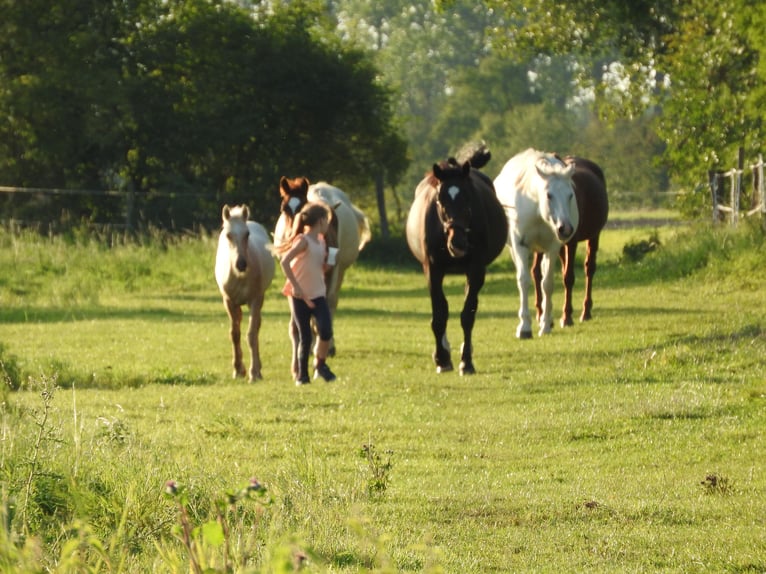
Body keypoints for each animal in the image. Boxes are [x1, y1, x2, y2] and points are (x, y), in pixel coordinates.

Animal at [215, 204, 275, 381]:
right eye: (228, 235)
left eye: (247, 234)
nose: (241, 263)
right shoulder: (229, 301)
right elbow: (235, 334)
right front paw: (238, 370)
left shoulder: (254, 300)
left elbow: (251, 335)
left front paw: (254, 372)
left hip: (260, 299)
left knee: (256, 328)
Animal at [274, 176, 371, 366]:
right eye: (284, 209)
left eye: (302, 209)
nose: (293, 240)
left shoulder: (331, 272)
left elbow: (324, 305)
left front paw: (320, 346)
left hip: (339, 273)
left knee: (331, 302)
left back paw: (326, 344)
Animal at [405, 144, 508, 374]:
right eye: (439, 200)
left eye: (468, 197)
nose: (457, 243)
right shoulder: (433, 270)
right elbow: (439, 315)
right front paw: (442, 359)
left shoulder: (476, 270)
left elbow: (467, 315)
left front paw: (466, 361)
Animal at [493, 148, 578, 339]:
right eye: (549, 195)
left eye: (570, 195)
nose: (565, 229)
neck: (537, 209)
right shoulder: (520, 246)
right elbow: (523, 281)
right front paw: (524, 327)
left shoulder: (552, 248)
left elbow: (547, 284)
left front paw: (545, 325)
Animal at [532, 156, 609, 328]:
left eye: (570, 195)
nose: (565, 228)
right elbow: (538, 273)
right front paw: (542, 314)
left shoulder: (571, 242)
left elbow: (568, 277)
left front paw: (566, 317)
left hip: (594, 235)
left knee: (589, 269)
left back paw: (586, 312)